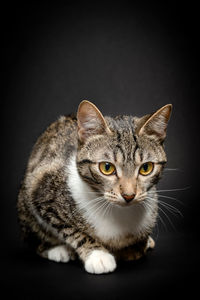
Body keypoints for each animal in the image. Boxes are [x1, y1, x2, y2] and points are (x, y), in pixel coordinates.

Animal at [17, 101, 172, 274]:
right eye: (107, 167)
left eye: (146, 168)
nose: (129, 195)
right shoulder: (43, 192)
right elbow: (71, 230)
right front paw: (98, 255)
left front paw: (135, 247)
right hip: (25, 200)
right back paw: (57, 250)